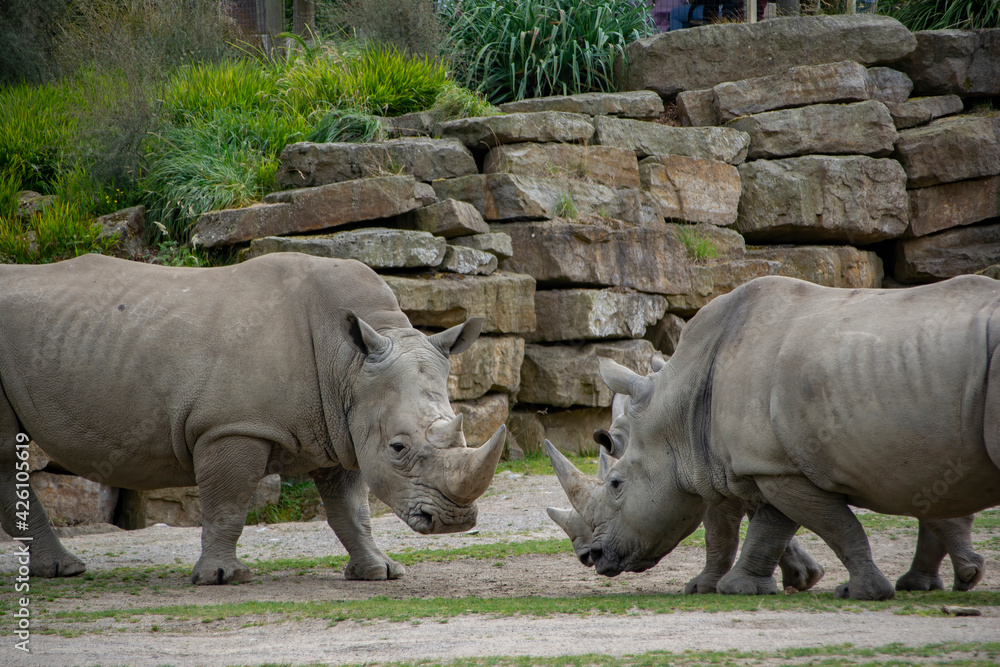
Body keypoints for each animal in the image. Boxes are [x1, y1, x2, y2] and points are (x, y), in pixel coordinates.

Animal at [0, 253, 506, 584]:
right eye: (398, 448)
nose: (454, 522)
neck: (348, 364)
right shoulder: (231, 427)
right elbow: (228, 503)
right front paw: (224, 577)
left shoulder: (342, 427)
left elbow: (351, 509)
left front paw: (380, 572)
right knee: (7, 454)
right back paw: (65, 571)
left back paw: (57, 571)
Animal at [550, 276, 1000, 600]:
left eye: (615, 484)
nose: (589, 556)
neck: (677, 412)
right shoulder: (771, 465)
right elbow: (765, 526)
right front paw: (741, 587)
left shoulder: (763, 466)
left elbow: (831, 525)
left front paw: (861, 593)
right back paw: (933, 583)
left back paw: (955, 577)